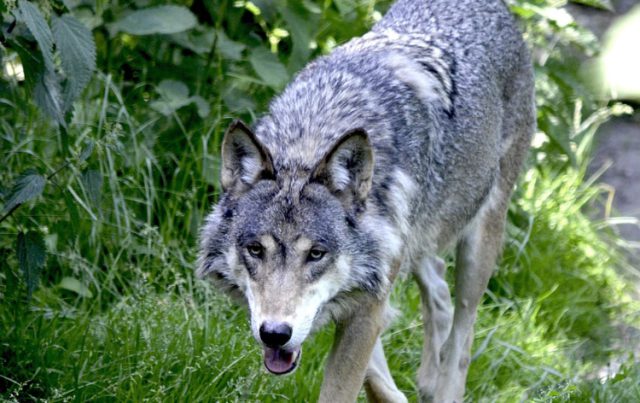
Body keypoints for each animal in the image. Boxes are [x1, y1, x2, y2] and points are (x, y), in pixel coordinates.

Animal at [197, 0, 535, 401]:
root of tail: (498, 9)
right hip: (417, 241)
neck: (312, 138)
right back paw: (427, 379)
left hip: (479, 245)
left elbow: (344, 385)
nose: (275, 334)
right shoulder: (368, 287)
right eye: (255, 249)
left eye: (316, 253)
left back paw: (445, 386)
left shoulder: (370, 298)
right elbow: (373, 370)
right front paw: (397, 394)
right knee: (437, 284)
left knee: (463, 332)